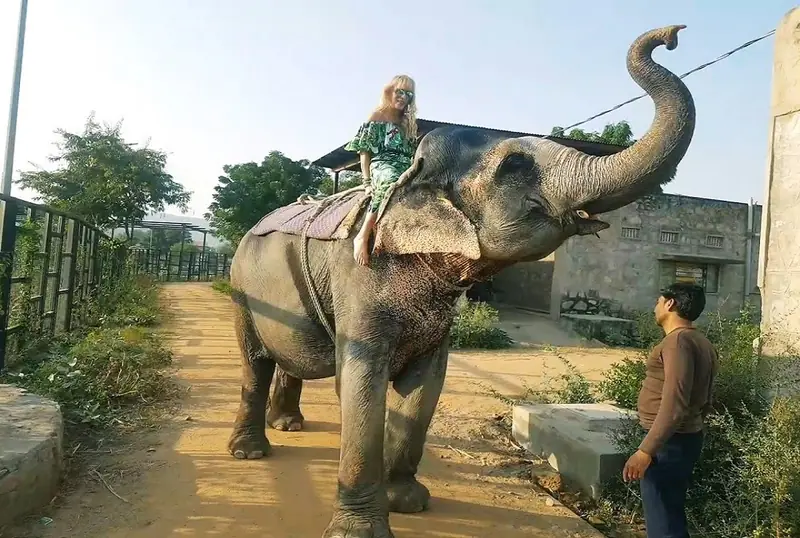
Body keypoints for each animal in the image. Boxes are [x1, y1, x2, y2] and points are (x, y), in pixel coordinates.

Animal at [226, 24, 695, 538]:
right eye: (515, 164)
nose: (672, 35)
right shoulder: (359, 278)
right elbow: (362, 384)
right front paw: (360, 530)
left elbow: (425, 388)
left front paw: (409, 503)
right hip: (242, 289)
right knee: (255, 362)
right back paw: (249, 451)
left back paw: (288, 424)